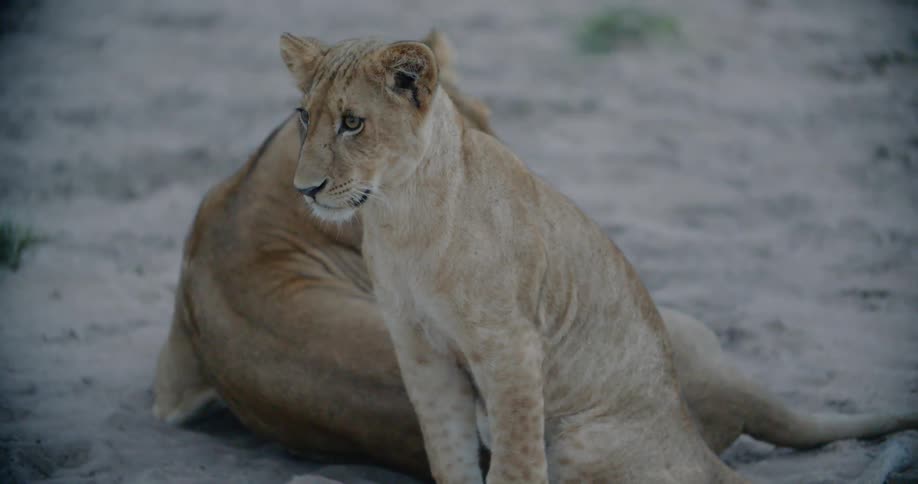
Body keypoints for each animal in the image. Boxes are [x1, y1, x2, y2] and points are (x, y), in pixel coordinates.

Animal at [153, 31, 918, 481]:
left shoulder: (511, 347)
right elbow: (453, 458)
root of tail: (697, 436)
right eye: (307, 118)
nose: (308, 186)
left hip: (584, 430)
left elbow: (514, 467)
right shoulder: (421, 355)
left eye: (352, 122)